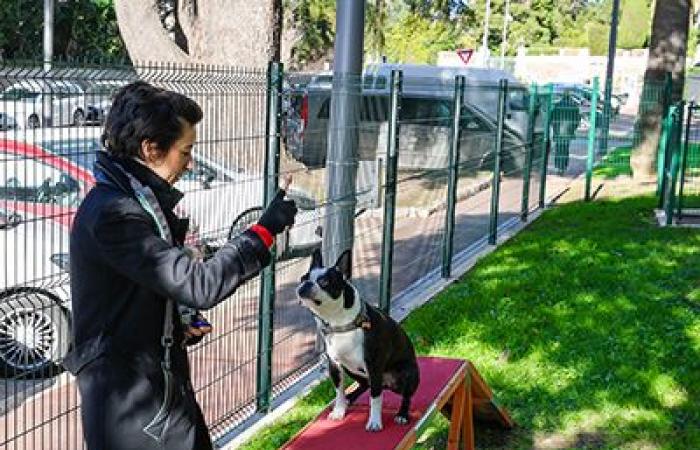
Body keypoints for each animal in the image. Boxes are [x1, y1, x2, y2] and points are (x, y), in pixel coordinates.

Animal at [296, 250, 422, 432]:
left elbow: (375, 398)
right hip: (351, 369)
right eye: (303, 278)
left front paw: (375, 422)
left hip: (407, 373)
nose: (305, 285)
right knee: (365, 385)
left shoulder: (374, 366)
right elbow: (339, 391)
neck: (340, 322)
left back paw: (402, 414)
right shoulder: (335, 365)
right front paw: (339, 410)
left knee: (405, 395)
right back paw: (349, 398)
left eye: (324, 282)